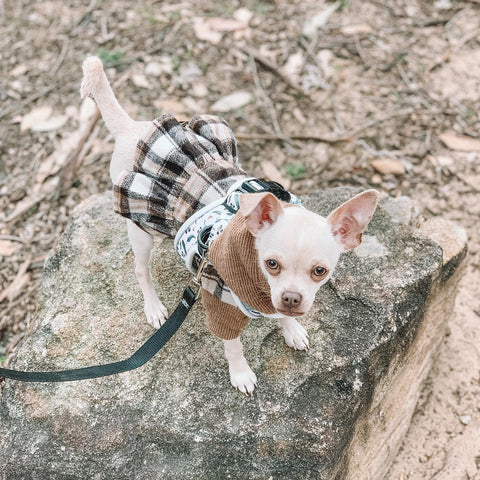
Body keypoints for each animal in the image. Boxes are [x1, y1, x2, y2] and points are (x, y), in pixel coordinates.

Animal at [79, 56, 378, 394]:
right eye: (271, 264)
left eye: (320, 271)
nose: (291, 298)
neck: (261, 285)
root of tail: (133, 127)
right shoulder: (221, 306)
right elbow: (233, 346)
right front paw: (241, 374)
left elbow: (282, 316)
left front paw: (291, 328)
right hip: (141, 228)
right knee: (141, 270)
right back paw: (153, 307)